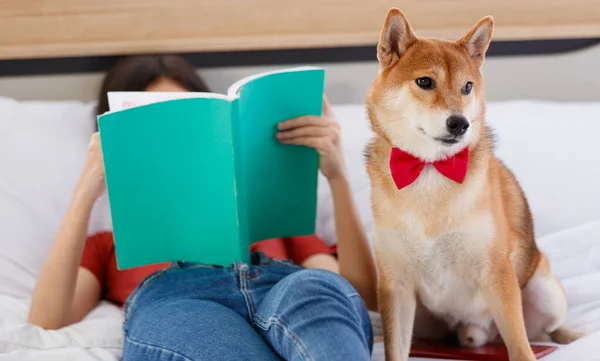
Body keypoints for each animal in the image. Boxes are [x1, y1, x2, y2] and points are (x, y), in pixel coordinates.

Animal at [364, 7, 584, 360]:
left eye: (467, 87)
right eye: (425, 82)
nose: (460, 123)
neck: (429, 170)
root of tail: (479, 334)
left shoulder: (496, 273)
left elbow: (521, 346)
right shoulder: (395, 286)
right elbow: (395, 350)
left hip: (544, 290)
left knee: (543, 331)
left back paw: (567, 335)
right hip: (425, 320)